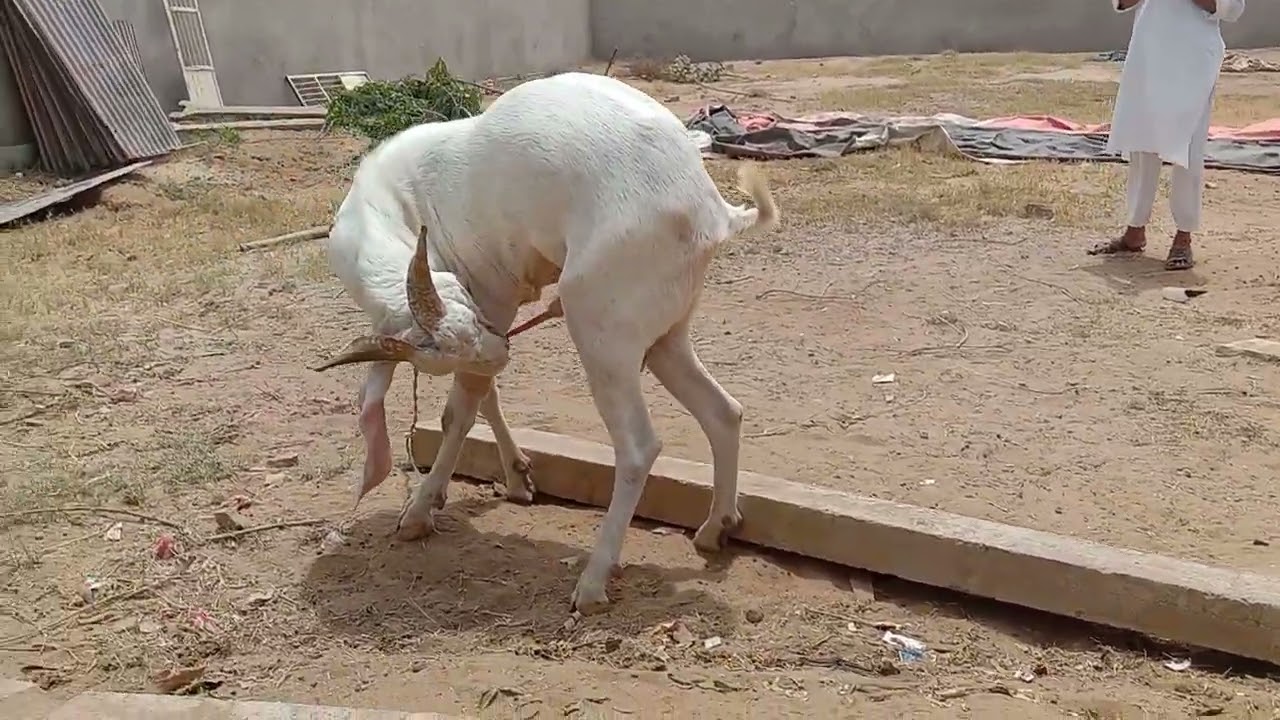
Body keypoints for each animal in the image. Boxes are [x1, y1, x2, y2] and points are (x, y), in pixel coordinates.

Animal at [314, 71, 778, 614]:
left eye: (465, 307)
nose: (502, 354)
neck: (396, 203)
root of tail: (714, 213)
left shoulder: (494, 294)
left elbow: (459, 411)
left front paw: (419, 511)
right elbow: (484, 394)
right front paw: (517, 476)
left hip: (600, 330)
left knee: (639, 447)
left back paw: (593, 583)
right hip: (667, 333)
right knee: (723, 411)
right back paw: (714, 529)